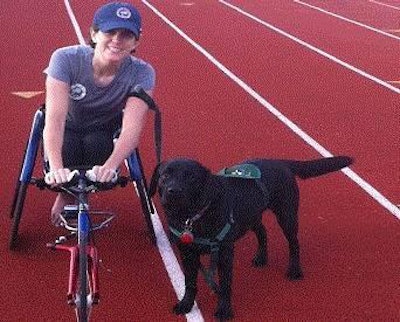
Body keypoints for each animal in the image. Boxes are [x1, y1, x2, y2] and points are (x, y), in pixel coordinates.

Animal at [151, 156, 354, 320]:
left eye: (191, 177)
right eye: (165, 175)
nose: (173, 191)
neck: (192, 217)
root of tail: (281, 162)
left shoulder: (224, 253)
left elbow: (225, 285)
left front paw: (224, 310)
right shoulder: (187, 253)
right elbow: (190, 283)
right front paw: (185, 304)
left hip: (286, 214)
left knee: (294, 243)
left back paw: (295, 270)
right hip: (251, 215)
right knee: (263, 232)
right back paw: (261, 258)